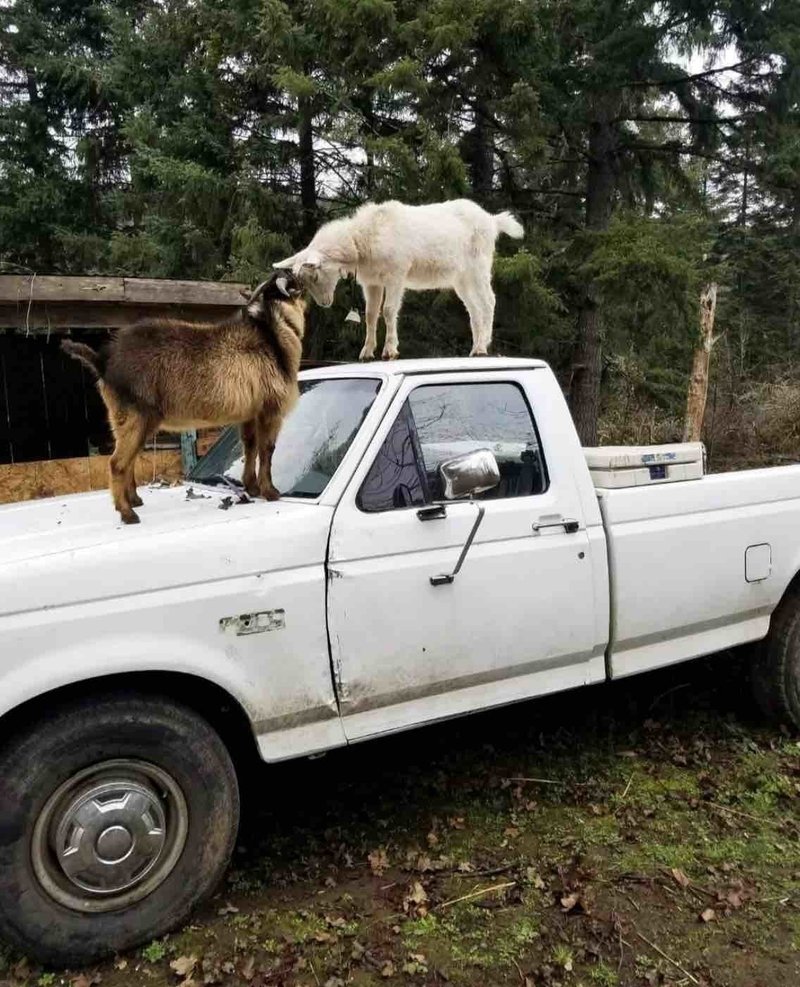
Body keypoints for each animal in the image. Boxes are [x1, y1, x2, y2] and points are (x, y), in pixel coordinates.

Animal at [61, 270, 306, 524]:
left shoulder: (250, 411)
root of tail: (103, 362)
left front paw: (252, 488)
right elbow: (267, 449)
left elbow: (250, 446)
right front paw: (271, 492)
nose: (300, 274)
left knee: (128, 460)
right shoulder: (271, 408)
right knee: (117, 463)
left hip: (130, 420)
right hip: (134, 416)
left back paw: (135, 501)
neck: (272, 335)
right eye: (291, 281)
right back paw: (127, 514)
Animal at [276, 197, 524, 358]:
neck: (362, 240)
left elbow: (388, 310)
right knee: (473, 308)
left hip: (479, 266)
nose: (325, 303)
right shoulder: (372, 282)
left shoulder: (396, 275)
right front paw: (366, 352)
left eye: (315, 275)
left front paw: (389, 350)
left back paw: (483, 346)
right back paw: (475, 348)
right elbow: (370, 315)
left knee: (489, 301)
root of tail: (492, 220)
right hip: (461, 278)